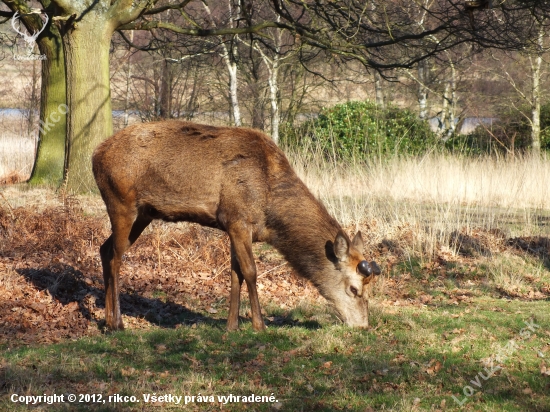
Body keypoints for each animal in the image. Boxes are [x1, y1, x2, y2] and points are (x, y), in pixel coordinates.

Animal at [92, 121, 382, 332]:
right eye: (354, 289)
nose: (363, 326)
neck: (270, 211)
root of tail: (95, 154)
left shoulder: (234, 227)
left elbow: (235, 274)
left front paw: (231, 326)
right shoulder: (238, 220)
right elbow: (251, 272)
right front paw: (259, 325)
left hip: (144, 213)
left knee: (104, 249)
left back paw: (106, 320)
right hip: (121, 202)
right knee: (116, 256)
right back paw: (118, 323)